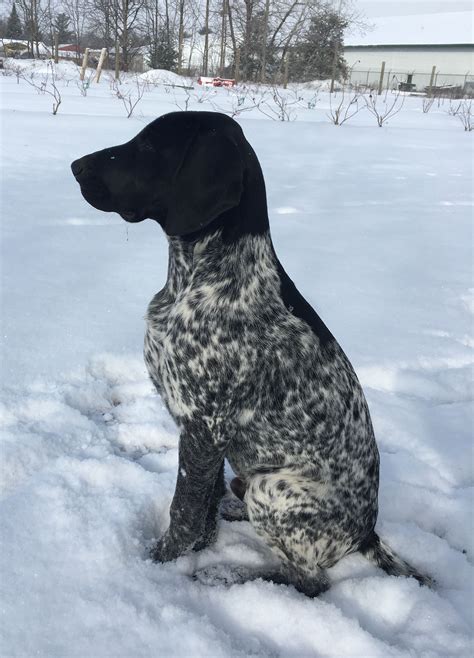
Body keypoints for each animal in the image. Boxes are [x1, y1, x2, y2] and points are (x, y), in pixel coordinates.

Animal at [71, 109, 434, 596]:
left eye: (149, 145)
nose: (76, 167)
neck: (203, 277)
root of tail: (366, 534)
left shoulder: (204, 425)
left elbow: (184, 510)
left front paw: (159, 567)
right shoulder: (204, 432)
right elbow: (203, 505)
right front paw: (198, 547)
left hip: (273, 486)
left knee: (308, 582)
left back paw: (229, 576)